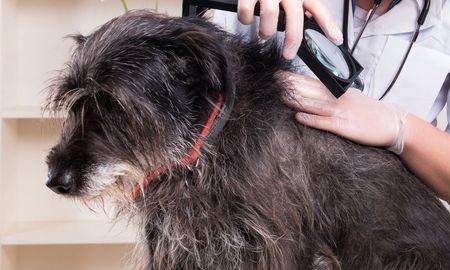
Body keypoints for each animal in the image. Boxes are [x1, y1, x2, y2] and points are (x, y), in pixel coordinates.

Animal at [44, 10, 450, 270]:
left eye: (113, 105)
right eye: (76, 104)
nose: (55, 181)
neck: (208, 145)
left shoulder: (275, 246)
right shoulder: (174, 242)